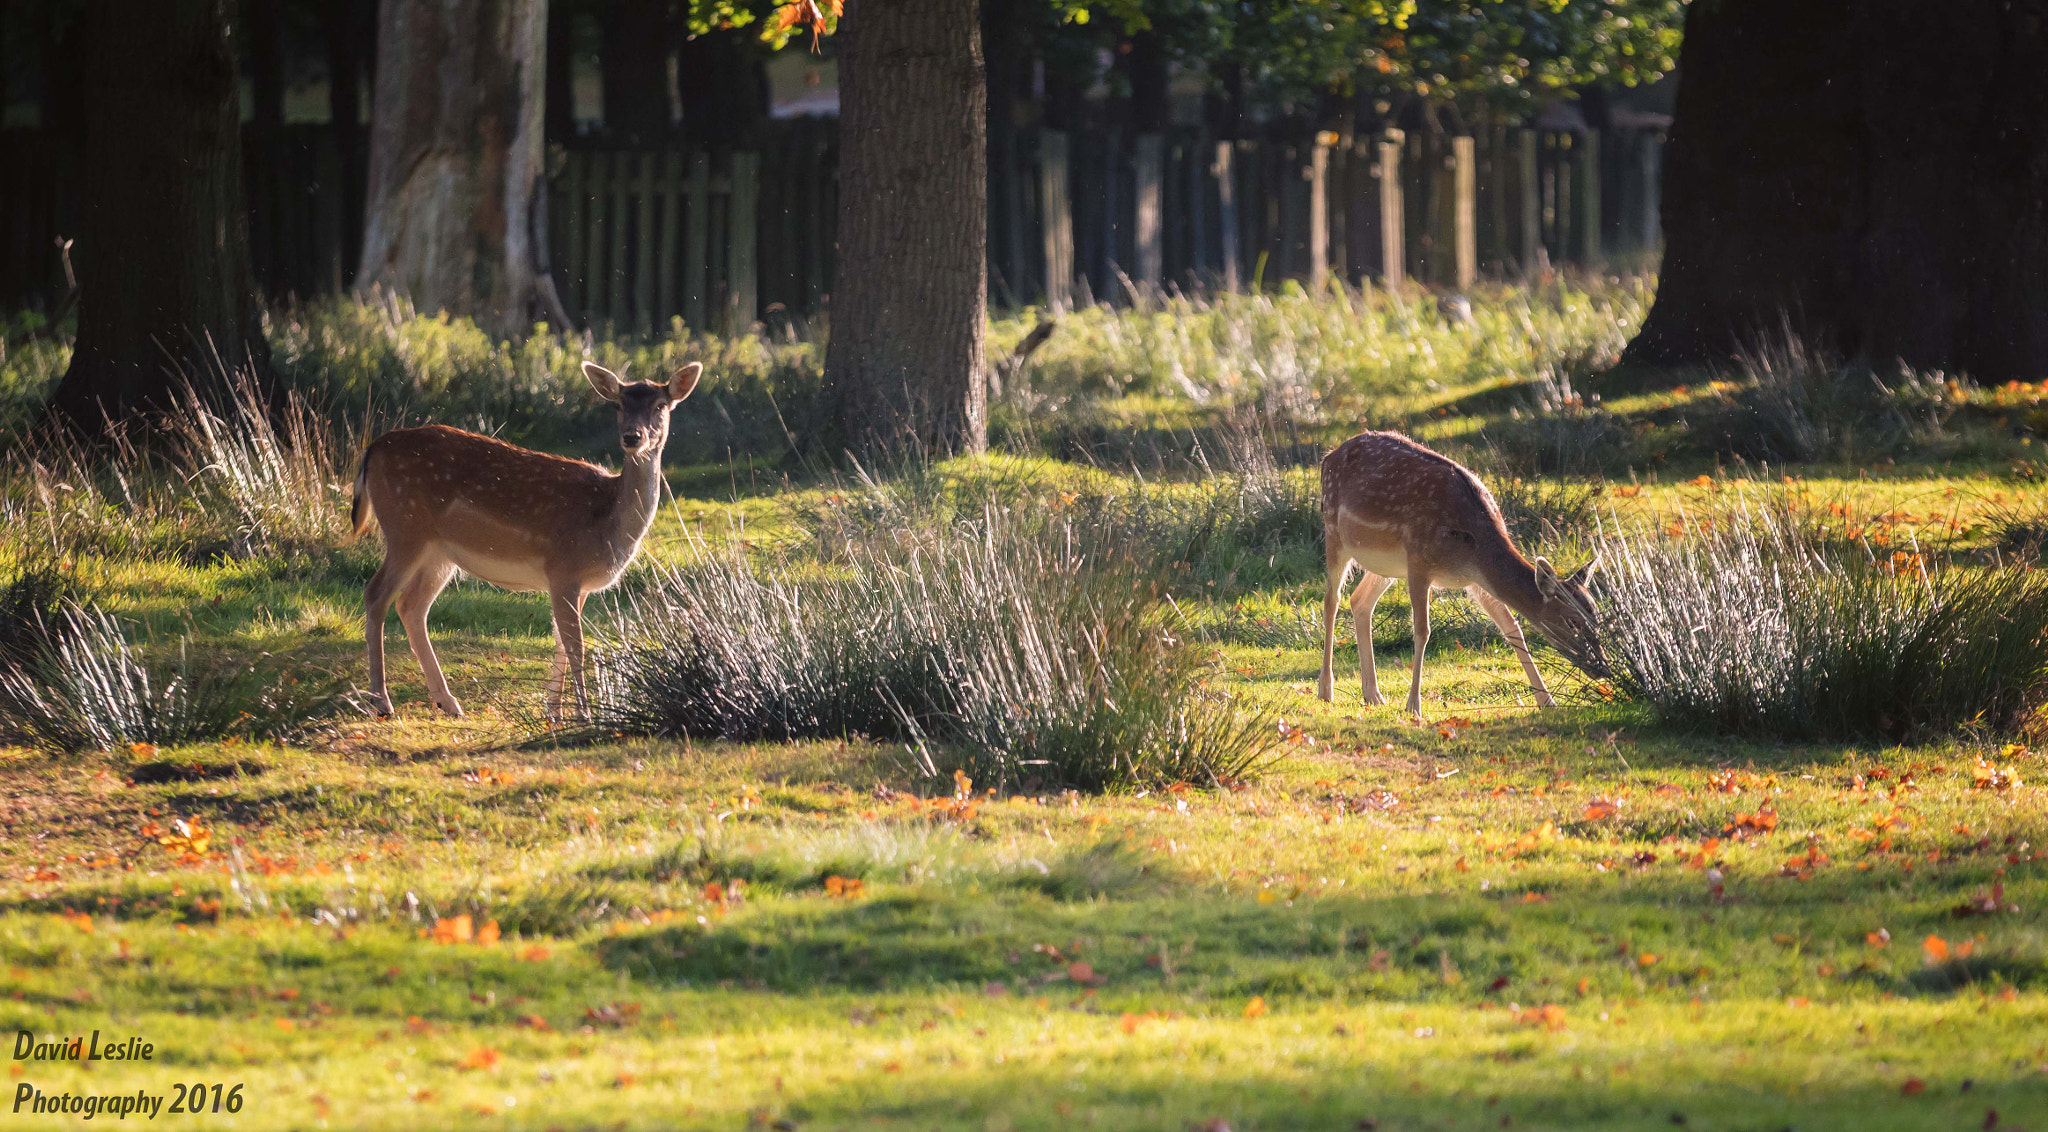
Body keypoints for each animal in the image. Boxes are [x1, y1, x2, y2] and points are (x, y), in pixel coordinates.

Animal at [350, 360, 702, 721]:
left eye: (660, 406)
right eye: (618, 404)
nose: (632, 436)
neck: (607, 523)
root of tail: (371, 449)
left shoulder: (577, 584)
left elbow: (561, 641)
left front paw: (554, 711)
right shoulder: (563, 568)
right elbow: (576, 646)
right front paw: (585, 715)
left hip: (439, 552)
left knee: (411, 605)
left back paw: (448, 702)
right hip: (405, 528)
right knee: (376, 594)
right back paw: (382, 702)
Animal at [1317, 430, 1606, 719]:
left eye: (1597, 616)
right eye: (1571, 621)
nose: (1602, 667)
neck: (1473, 545)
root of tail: (1327, 456)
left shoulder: (1476, 579)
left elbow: (1513, 629)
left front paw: (1548, 701)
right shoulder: (1420, 561)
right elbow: (1422, 630)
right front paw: (1414, 706)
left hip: (1388, 566)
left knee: (1360, 601)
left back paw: (1373, 695)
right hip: (1333, 530)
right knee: (1332, 600)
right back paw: (1326, 690)